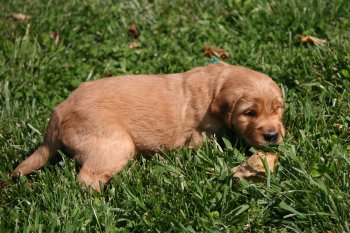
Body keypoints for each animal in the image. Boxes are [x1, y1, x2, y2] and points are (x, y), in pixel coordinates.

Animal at [11, 62, 284, 191]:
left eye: (278, 109)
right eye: (249, 113)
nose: (272, 136)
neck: (215, 86)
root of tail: (58, 112)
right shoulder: (200, 134)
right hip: (114, 143)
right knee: (87, 179)